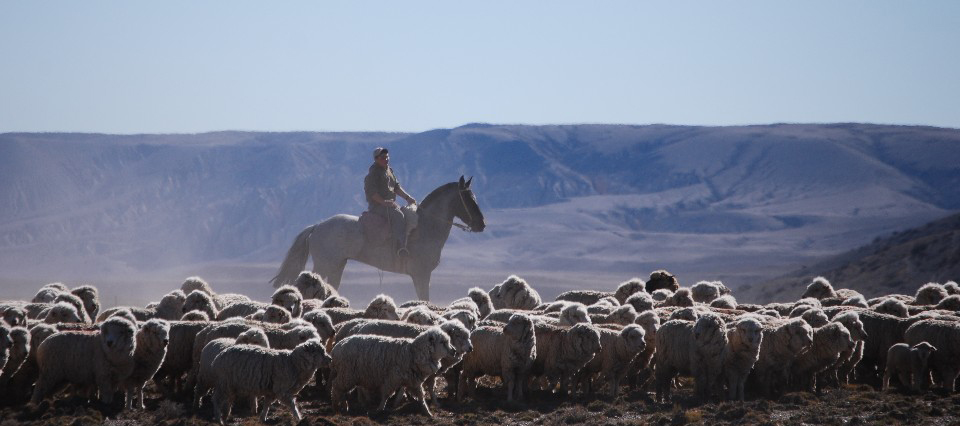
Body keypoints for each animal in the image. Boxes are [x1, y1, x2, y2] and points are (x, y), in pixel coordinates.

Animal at [270, 175, 488, 302]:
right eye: (468, 198)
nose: (481, 224)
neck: (426, 227)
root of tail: (318, 226)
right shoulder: (421, 275)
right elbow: (424, 299)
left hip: (336, 266)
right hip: (324, 265)